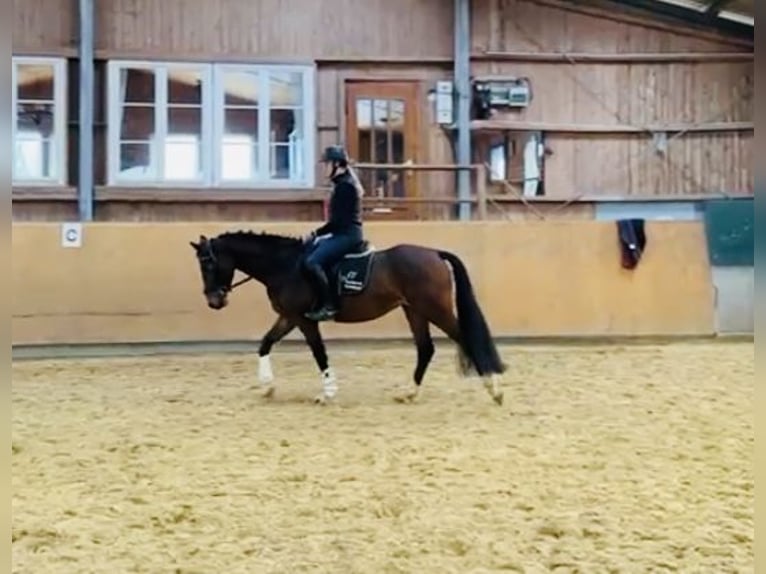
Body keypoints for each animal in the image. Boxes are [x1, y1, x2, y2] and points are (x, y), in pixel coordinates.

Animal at [189, 232, 508, 408]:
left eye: (208, 263)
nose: (214, 301)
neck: (286, 266)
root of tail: (434, 253)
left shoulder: (305, 320)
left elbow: (319, 354)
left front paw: (327, 394)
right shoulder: (288, 317)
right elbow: (265, 344)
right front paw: (267, 387)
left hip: (434, 309)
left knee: (464, 338)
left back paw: (494, 390)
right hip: (414, 310)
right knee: (425, 349)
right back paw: (408, 393)